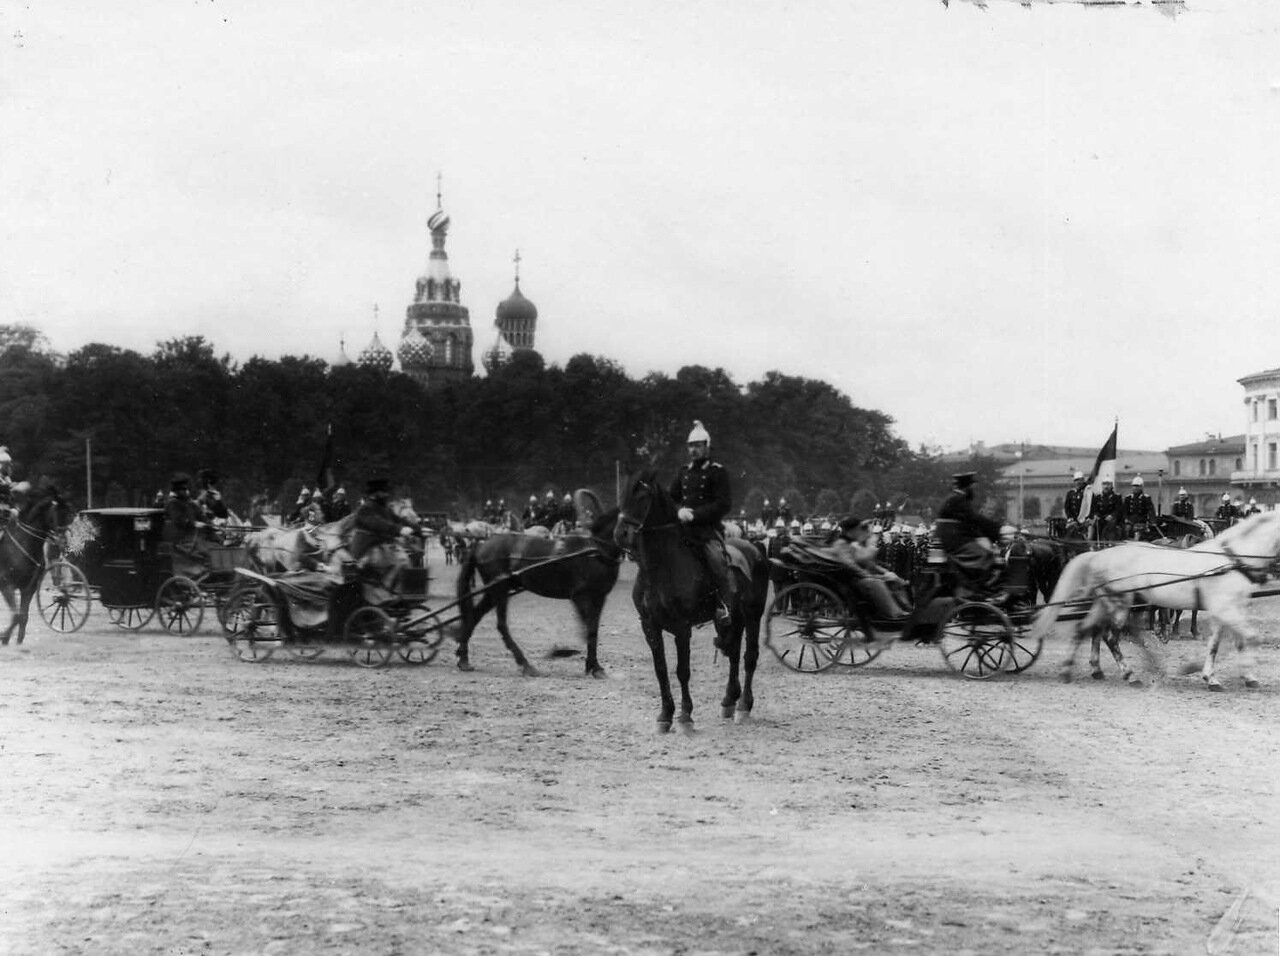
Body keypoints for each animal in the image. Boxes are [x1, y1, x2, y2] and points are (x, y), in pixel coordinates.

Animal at [0, 488, 74, 647]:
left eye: (69, 515)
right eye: (56, 515)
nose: (63, 543)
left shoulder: (28, 589)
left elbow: (22, 617)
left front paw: (17, 641)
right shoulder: (7, 585)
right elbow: (16, 616)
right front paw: (4, 637)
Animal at [455, 511, 624, 675]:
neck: (595, 551)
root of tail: (481, 546)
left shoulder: (599, 597)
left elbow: (593, 629)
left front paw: (592, 665)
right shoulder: (580, 597)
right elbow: (589, 630)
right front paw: (587, 663)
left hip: (494, 591)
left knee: (474, 615)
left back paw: (463, 658)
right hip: (499, 590)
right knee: (501, 625)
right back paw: (525, 664)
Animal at [611, 468, 768, 732]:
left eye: (642, 496)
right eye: (622, 494)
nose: (621, 535)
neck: (660, 568)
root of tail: (754, 547)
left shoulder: (682, 627)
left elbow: (682, 671)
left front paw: (685, 716)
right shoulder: (649, 626)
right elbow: (661, 669)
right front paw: (665, 714)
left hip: (753, 615)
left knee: (749, 657)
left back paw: (743, 706)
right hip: (731, 619)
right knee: (734, 653)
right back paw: (728, 700)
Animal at [1034, 511, 1280, 691]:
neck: (1232, 559)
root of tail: (1099, 554)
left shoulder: (1231, 608)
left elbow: (1223, 643)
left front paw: (1228, 676)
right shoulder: (1225, 608)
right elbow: (1250, 638)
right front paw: (1211, 673)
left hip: (1106, 603)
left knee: (1088, 629)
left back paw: (1077, 669)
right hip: (1120, 603)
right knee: (1111, 637)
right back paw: (1130, 674)